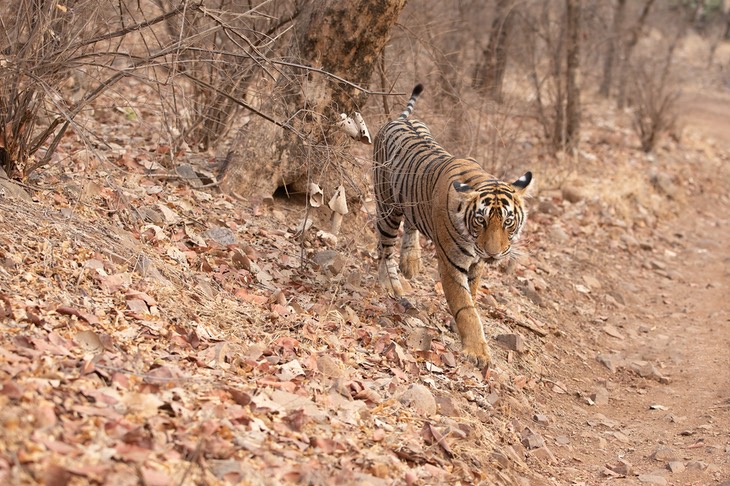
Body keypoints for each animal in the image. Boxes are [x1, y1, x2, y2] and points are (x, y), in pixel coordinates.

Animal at [372, 83, 532, 366]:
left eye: (508, 222)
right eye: (481, 220)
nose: (493, 253)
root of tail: (398, 118)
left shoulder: (477, 265)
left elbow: (473, 296)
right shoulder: (451, 264)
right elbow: (464, 306)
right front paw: (478, 352)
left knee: (409, 226)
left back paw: (411, 262)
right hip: (388, 205)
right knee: (385, 248)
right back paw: (391, 284)